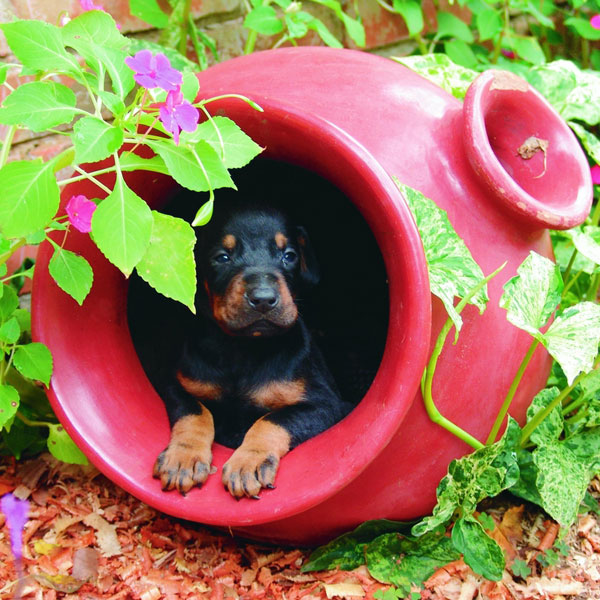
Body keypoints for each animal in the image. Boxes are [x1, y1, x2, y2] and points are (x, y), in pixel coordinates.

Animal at [152, 202, 352, 496]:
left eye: (289, 255)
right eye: (222, 257)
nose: (263, 299)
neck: (244, 348)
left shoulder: (326, 404)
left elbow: (272, 420)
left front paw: (248, 463)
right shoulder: (175, 384)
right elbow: (195, 413)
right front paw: (183, 458)